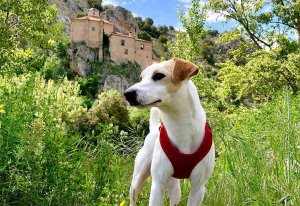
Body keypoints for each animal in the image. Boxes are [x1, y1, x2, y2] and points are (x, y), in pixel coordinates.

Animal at [123, 57, 214, 206]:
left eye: (159, 75)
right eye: (141, 77)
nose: (127, 94)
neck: (180, 125)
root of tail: (154, 128)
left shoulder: (198, 188)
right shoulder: (157, 185)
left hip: (174, 187)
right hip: (137, 180)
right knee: (133, 198)